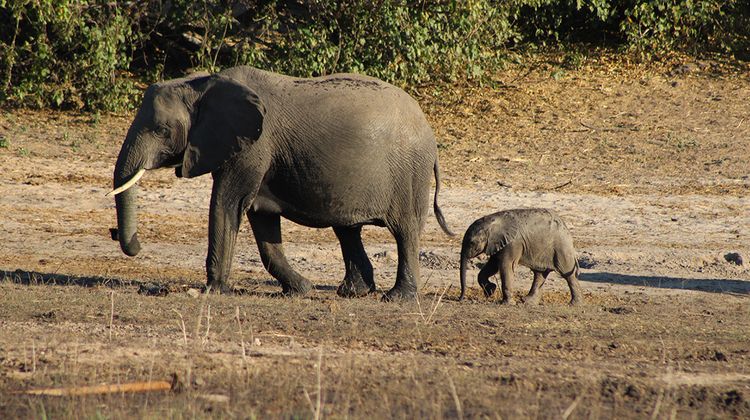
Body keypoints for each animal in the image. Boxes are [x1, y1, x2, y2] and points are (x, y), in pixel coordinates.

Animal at [111, 66, 452, 298]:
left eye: (161, 130)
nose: (132, 243)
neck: (201, 84)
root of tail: (429, 132)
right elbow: (259, 216)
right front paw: (300, 289)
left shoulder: (253, 147)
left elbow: (228, 203)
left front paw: (214, 291)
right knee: (347, 231)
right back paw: (352, 292)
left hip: (408, 173)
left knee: (405, 230)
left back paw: (396, 298)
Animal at [458, 209, 588, 306]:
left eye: (471, 242)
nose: (460, 298)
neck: (491, 222)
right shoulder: (498, 243)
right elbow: (492, 266)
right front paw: (491, 290)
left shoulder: (512, 243)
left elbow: (505, 266)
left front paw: (507, 303)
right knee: (540, 274)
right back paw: (527, 302)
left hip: (561, 247)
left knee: (567, 274)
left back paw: (574, 304)